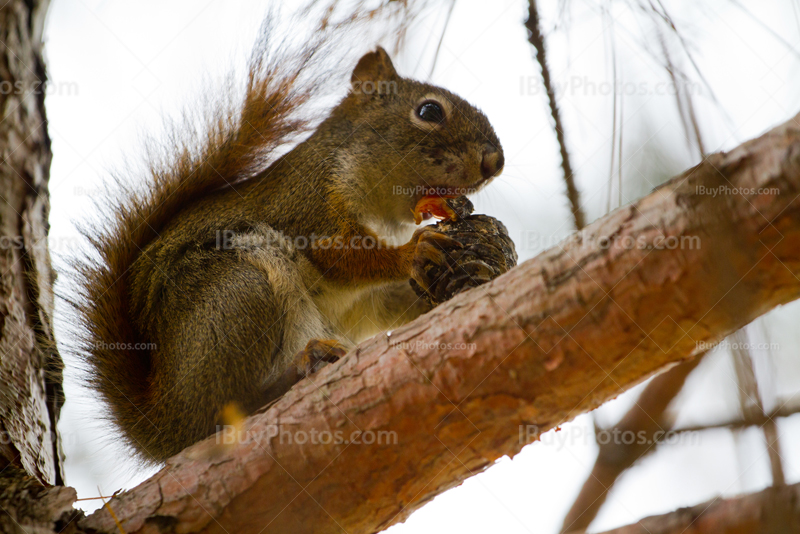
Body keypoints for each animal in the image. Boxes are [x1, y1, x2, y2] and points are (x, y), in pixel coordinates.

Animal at [78, 40, 506, 464]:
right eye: (429, 111)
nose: (495, 162)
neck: (385, 213)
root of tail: (162, 424)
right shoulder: (310, 205)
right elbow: (341, 256)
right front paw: (411, 252)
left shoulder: (367, 299)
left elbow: (389, 301)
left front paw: (470, 276)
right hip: (239, 292)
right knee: (214, 419)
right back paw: (296, 371)